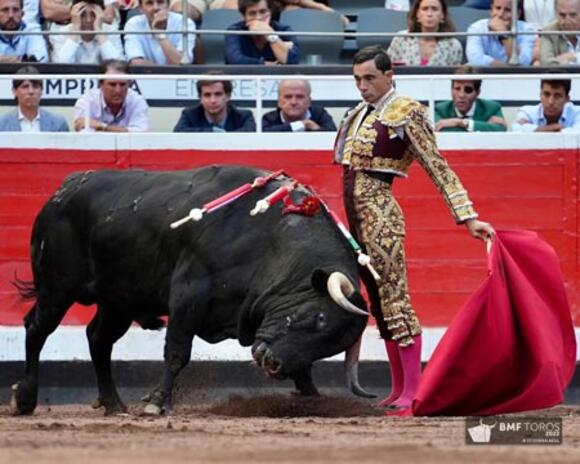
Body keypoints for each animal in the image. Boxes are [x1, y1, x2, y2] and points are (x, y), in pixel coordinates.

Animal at [10, 165, 376, 416]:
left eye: (329, 344)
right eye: (318, 319)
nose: (272, 364)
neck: (269, 237)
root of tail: (65, 188)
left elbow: (302, 367)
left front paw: (313, 398)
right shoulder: (188, 295)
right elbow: (177, 352)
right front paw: (157, 403)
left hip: (119, 300)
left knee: (98, 339)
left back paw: (113, 403)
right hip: (57, 286)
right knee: (37, 329)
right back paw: (24, 398)